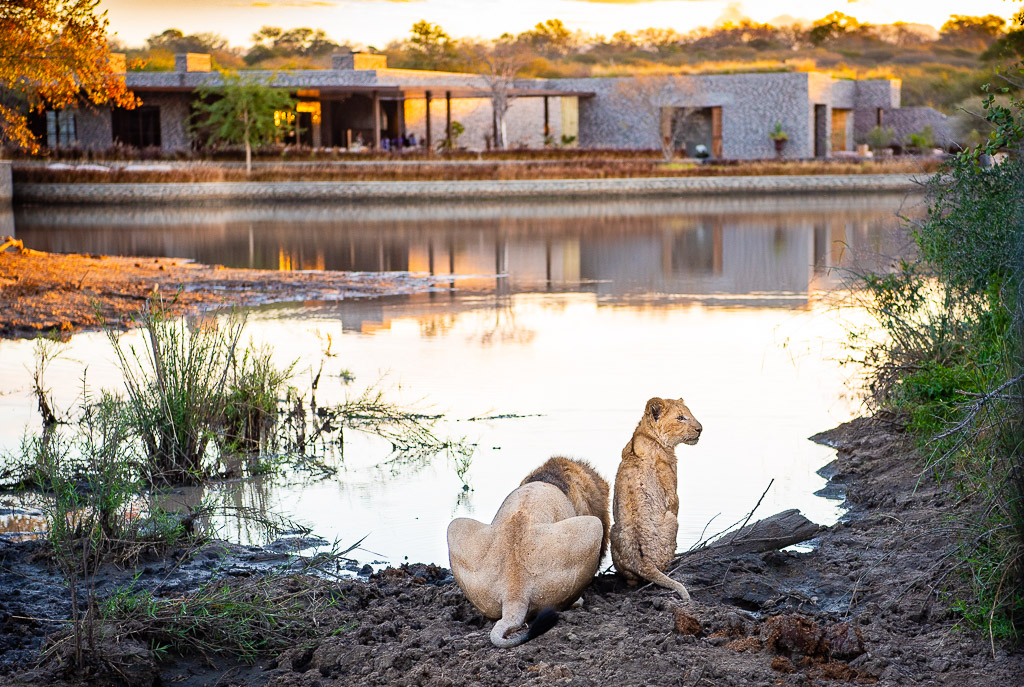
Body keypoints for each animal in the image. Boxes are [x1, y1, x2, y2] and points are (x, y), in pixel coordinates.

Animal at [610, 397, 700, 602]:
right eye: (680, 418)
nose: (700, 429)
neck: (645, 435)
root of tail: (643, 564)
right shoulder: (672, 493)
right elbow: (674, 502)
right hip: (671, 521)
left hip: (612, 530)